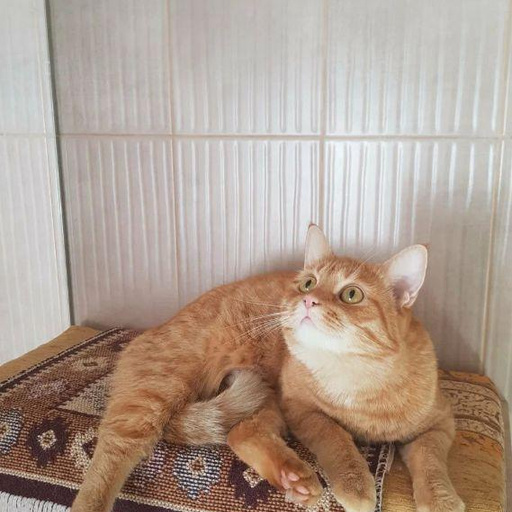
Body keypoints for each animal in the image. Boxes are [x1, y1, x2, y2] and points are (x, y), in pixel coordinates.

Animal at [71, 224, 464, 512]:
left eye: (351, 294)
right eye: (308, 282)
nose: (308, 300)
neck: (356, 380)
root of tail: (152, 330)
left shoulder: (440, 421)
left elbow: (431, 462)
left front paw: (441, 500)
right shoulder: (302, 409)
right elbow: (336, 438)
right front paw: (356, 483)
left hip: (261, 399)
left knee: (241, 433)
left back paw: (293, 478)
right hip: (157, 392)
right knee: (113, 451)